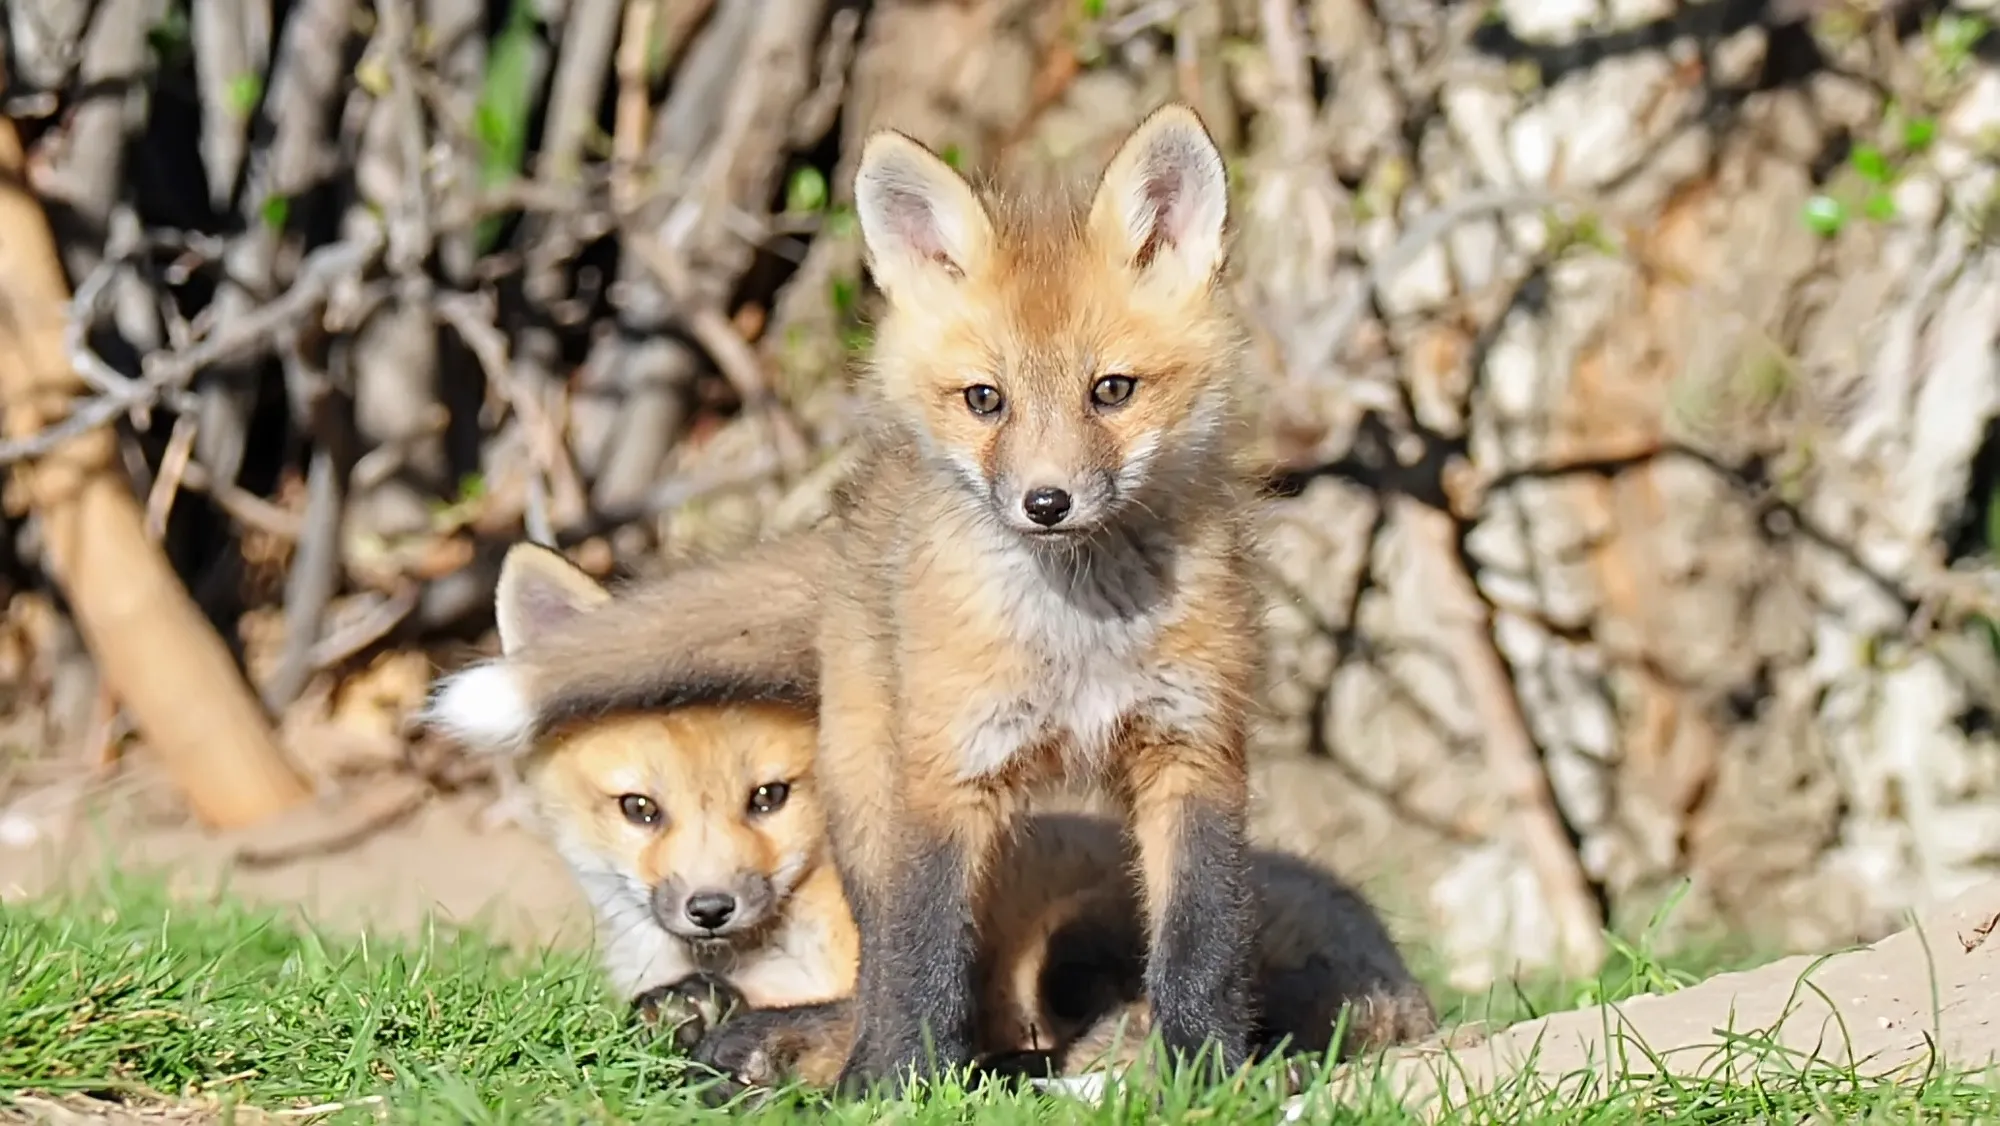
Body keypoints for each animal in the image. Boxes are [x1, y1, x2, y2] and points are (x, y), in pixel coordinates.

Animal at [428, 103, 1269, 1094]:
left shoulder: (1193, 752)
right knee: (878, 959)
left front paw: (1207, 1077)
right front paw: (898, 1084)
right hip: (868, 794)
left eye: (1112, 391)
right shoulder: (946, 774)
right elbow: (920, 956)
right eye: (985, 400)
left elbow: (1200, 942)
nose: (1046, 503)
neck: (1075, 635)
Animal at [437, 542, 1437, 1097]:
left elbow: (875, 1021)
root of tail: (1405, 979)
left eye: (770, 797)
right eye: (640, 810)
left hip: (1086, 936)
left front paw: (754, 1046)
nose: (709, 909)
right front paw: (693, 1018)